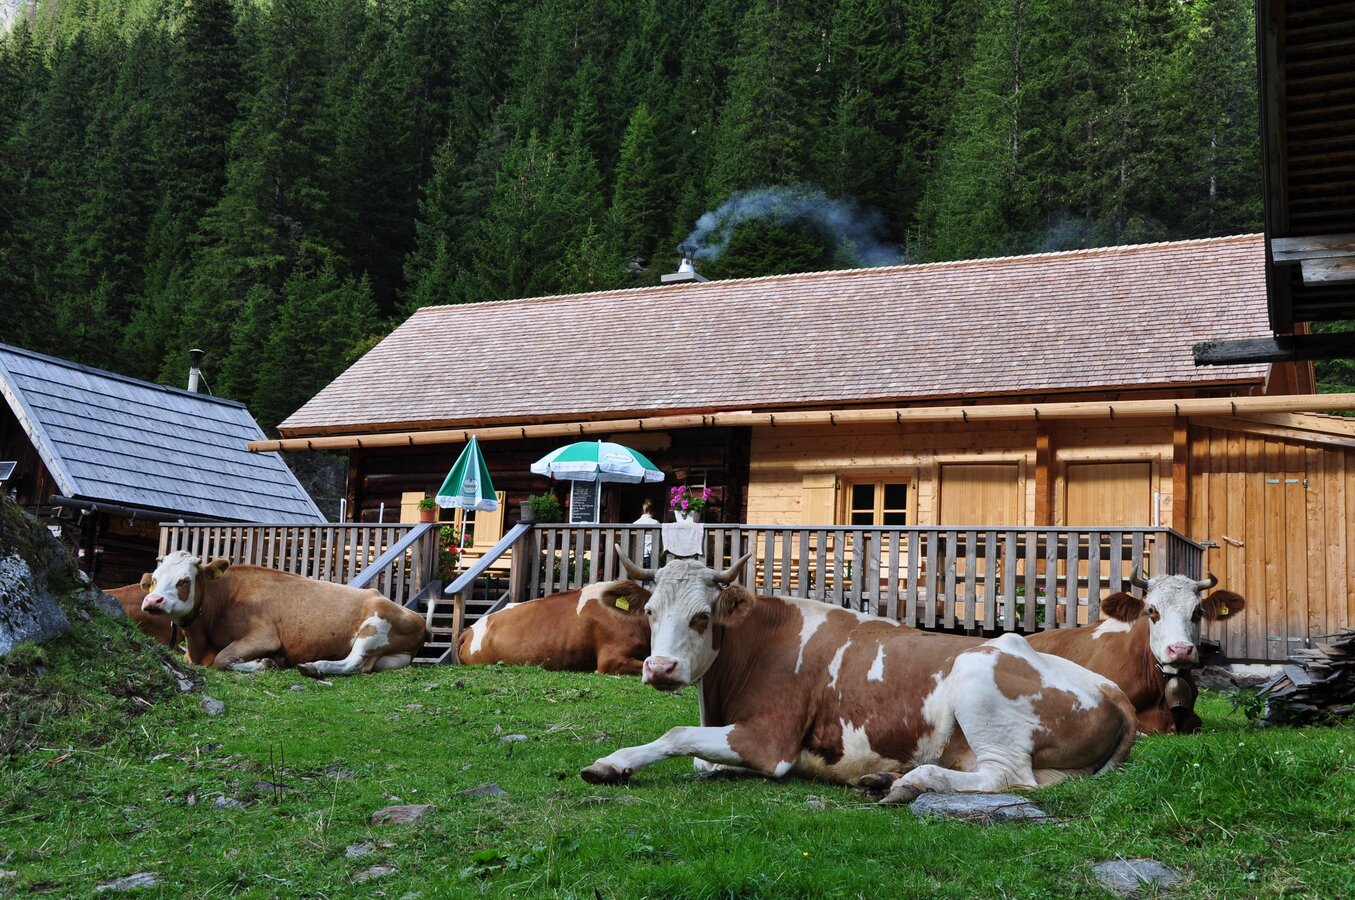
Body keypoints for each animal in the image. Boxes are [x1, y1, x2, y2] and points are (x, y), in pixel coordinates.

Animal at [139, 551, 427, 677]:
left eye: (184, 580)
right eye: (154, 579)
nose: (153, 600)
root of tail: (418, 617)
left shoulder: (264, 636)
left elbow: (223, 658)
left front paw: (266, 663)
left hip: (375, 625)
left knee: (355, 663)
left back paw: (314, 667)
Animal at [581, 550, 1137, 804]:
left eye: (701, 617)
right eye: (649, 611)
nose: (660, 668)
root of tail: (1111, 689)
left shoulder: (770, 739)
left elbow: (677, 735)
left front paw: (612, 764)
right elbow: (701, 757)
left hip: (979, 680)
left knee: (1005, 777)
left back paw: (909, 782)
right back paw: (884, 777)